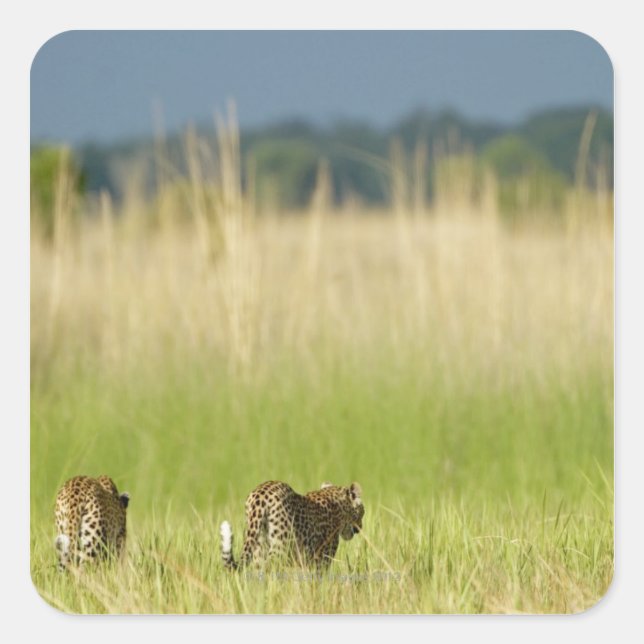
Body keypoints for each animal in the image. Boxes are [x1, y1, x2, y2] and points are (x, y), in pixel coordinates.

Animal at [220, 480, 364, 570]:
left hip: (258, 547)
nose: (360, 527)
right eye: (363, 511)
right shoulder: (322, 558)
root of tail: (259, 496)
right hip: (280, 547)